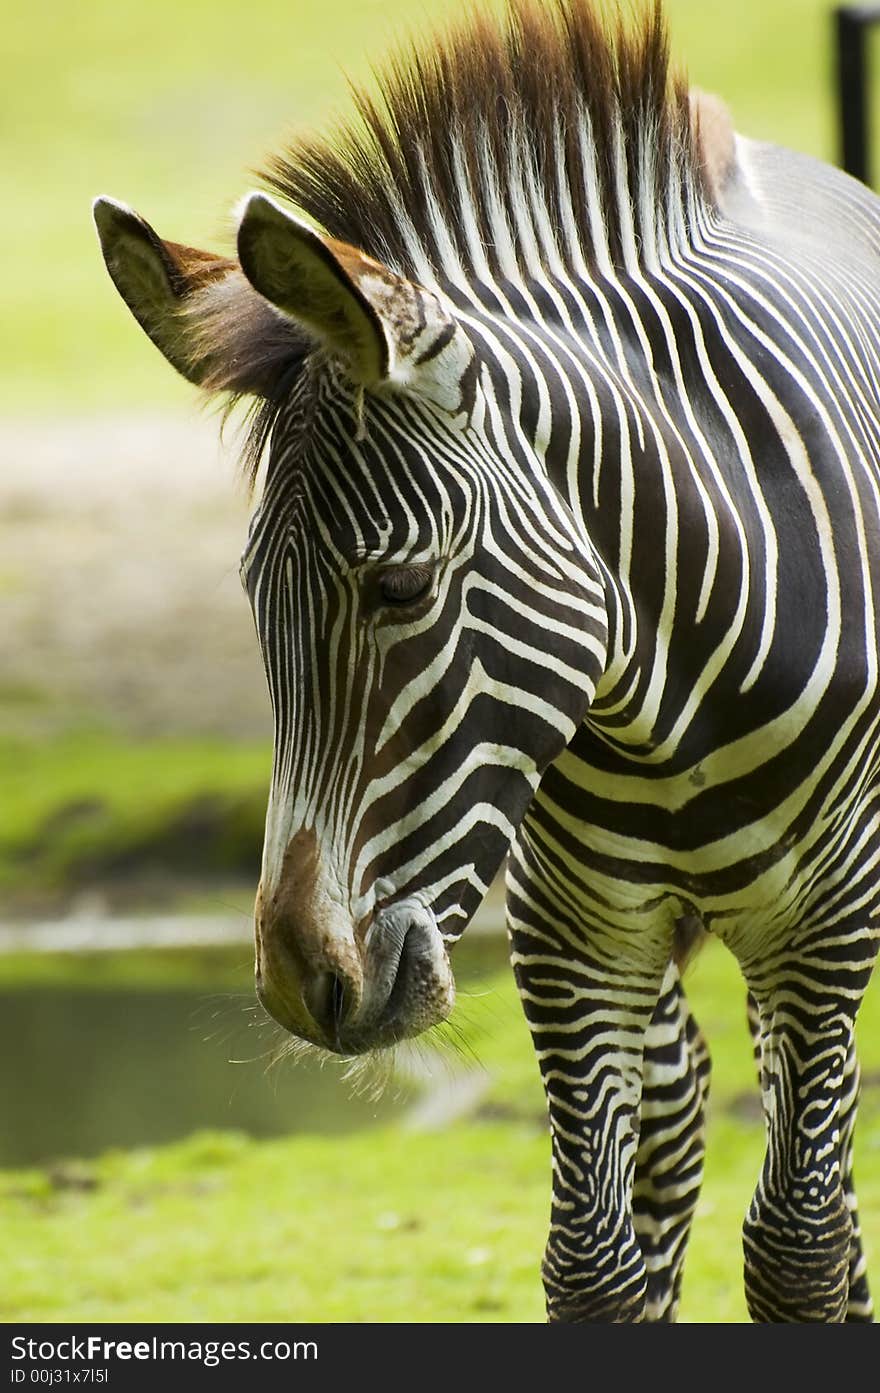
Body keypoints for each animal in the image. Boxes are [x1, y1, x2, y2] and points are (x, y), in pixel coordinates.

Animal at [92, 0, 874, 1320]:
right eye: (252, 600)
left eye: (400, 587)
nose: (300, 985)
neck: (665, 706)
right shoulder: (570, 937)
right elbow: (590, 1262)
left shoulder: (825, 926)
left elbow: (799, 1245)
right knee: (674, 1115)